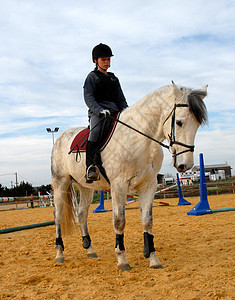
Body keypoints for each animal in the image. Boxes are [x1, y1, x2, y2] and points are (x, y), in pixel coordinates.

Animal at [51, 81, 207, 270]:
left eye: (197, 124)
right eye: (179, 122)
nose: (186, 165)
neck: (139, 139)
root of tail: (61, 137)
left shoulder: (149, 185)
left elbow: (147, 220)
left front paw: (153, 258)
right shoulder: (119, 185)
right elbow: (119, 221)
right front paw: (122, 260)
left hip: (86, 187)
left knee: (81, 214)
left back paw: (90, 249)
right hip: (60, 183)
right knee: (58, 216)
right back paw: (59, 253)